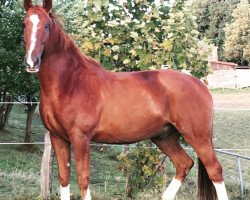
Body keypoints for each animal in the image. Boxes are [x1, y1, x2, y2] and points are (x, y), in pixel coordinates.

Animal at [23, 0, 229, 199]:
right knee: (184, 164)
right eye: (25, 24)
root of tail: (200, 85)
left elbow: (83, 180)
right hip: (164, 137)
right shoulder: (58, 138)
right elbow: (64, 179)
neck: (71, 83)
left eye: (47, 25)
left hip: (198, 137)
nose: (32, 62)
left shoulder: (80, 138)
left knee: (215, 170)